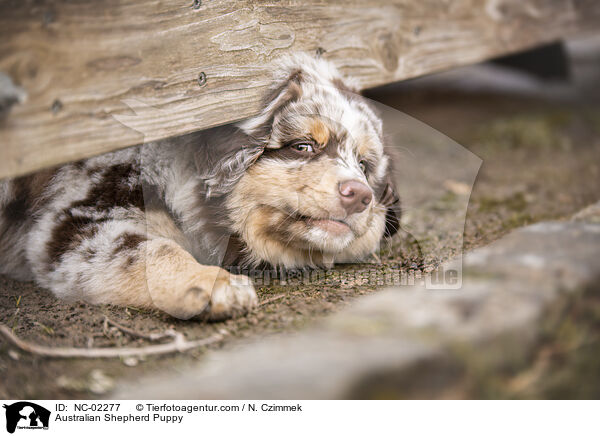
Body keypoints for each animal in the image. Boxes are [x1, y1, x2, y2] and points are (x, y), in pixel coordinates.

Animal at [3, 53, 404, 320]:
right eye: (302, 146)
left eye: (364, 166)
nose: (361, 195)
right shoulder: (76, 217)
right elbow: (151, 250)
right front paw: (213, 285)